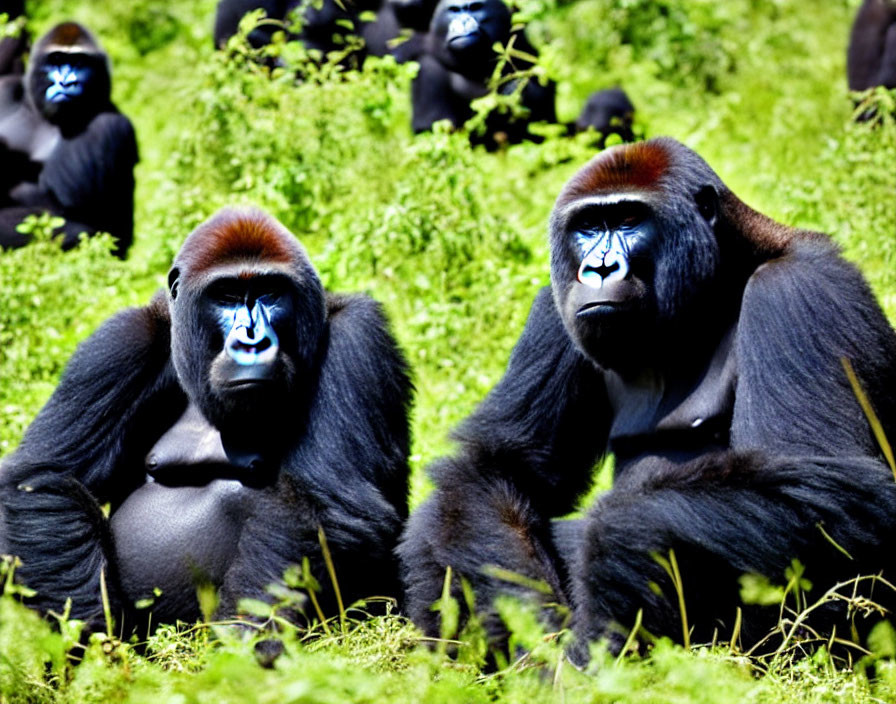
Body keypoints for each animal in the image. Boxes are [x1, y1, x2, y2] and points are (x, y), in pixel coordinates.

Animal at [0, 21, 137, 258]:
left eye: (79, 62)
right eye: (56, 59)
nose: (66, 82)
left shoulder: (107, 123)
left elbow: (70, 211)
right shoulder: (5, 91)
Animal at [0, 206, 412, 628]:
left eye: (270, 292)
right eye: (226, 296)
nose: (252, 342)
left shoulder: (357, 336)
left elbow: (325, 504)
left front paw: (246, 640)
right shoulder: (122, 342)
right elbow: (48, 477)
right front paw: (93, 634)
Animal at [400, 136, 896, 660]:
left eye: (628, 220)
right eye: (588, 227)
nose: (598, 269)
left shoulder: (798, 289)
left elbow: (836, 488)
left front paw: (620, 546)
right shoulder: (557, 309)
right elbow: (500, 465)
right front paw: (519, 626)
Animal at [412, 0, 552, 151]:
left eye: (475, 7)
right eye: (454, 10)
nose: (463, 21)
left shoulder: (525, 48)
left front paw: (517, 90)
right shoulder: (428, 68)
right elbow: (431, 133)